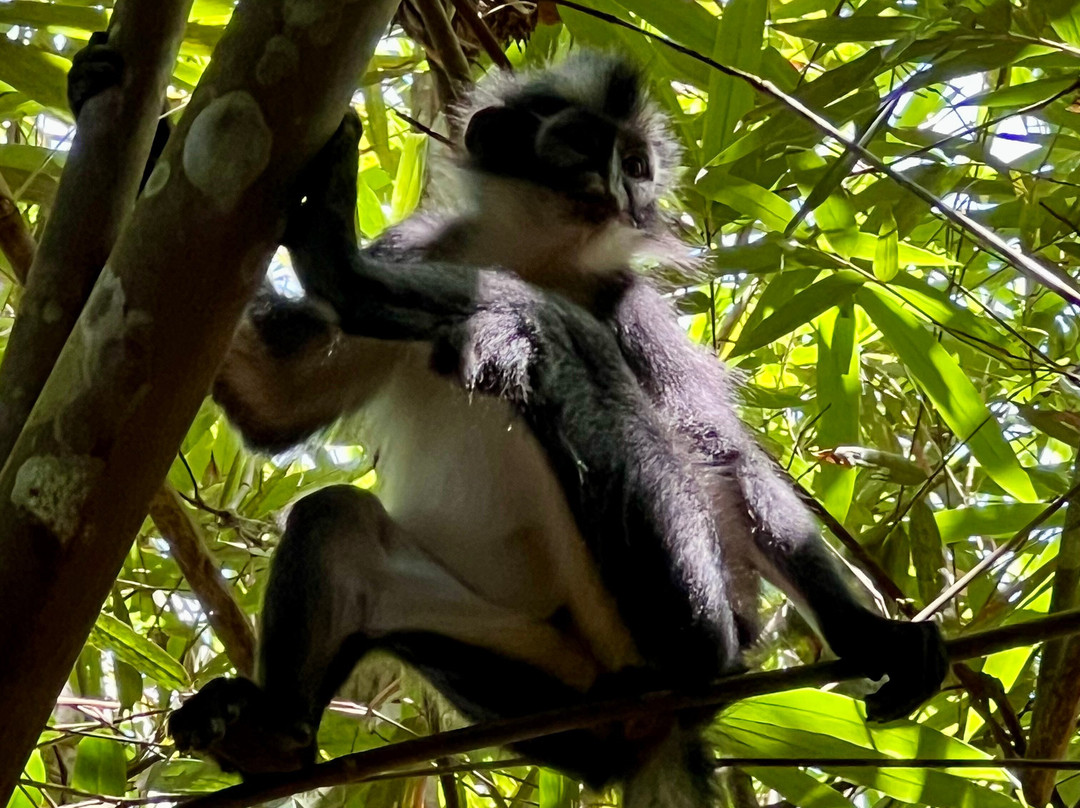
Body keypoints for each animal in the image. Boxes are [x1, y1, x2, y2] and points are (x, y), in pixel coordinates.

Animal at [140, 52, 948, 807]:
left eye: (637, 165)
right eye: (585, 144)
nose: (621, 190)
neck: (530, 255)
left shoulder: (625, 302)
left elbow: (720, 457)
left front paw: (870, 636)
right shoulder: (425, 252)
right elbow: (279, 402)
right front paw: (141, 136)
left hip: (683, 599)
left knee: (563, 343)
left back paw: (376, 280)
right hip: (537, 680)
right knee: (336, 520)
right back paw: (273, 735)